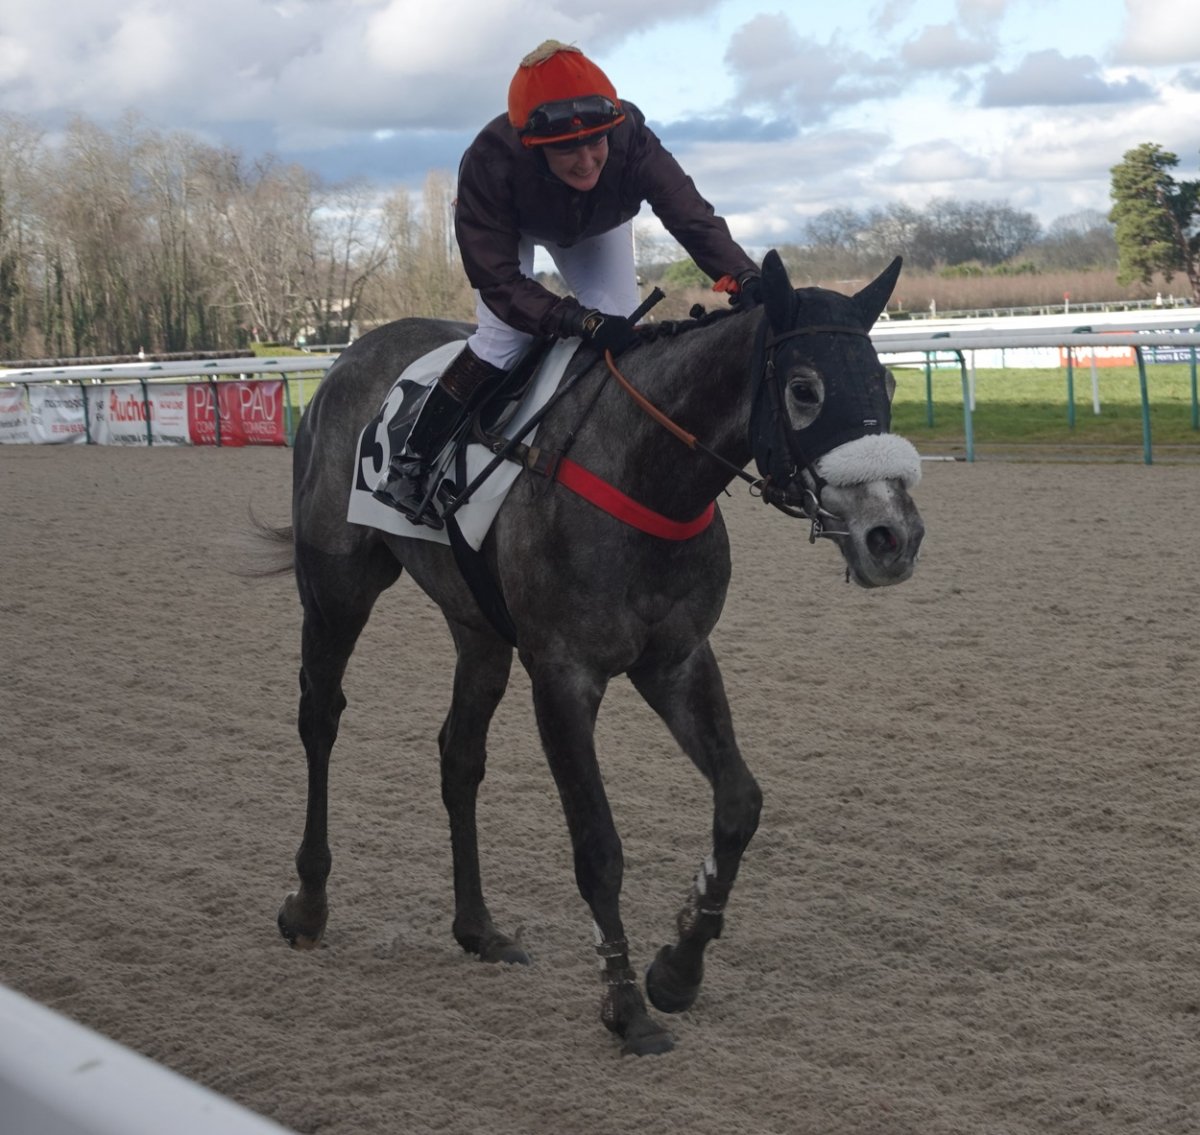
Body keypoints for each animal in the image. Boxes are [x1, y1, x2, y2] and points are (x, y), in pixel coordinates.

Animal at [268, 250, 925, 1056]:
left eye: (886, 384)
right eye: (805, 389)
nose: (893, 537)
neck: (644, 474)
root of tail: (349, 356)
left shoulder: (677, 658)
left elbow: (740, 803)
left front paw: (678, 964)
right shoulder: (563, 675)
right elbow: (598, 847)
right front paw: (623, 1004)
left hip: (476, 626)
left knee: (459, 755)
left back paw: (478, 927)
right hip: (338, 586)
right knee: (320, 717)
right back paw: (308, 902)